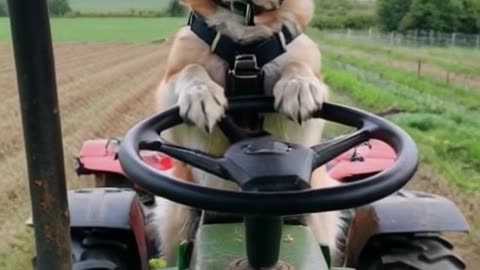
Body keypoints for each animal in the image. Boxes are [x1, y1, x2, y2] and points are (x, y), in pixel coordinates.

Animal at [152, 0, 344, 266]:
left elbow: (298, 66)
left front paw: (300, 86)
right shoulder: (168, 94)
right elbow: (191, 69)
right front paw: (200, 94)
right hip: (173, 216)